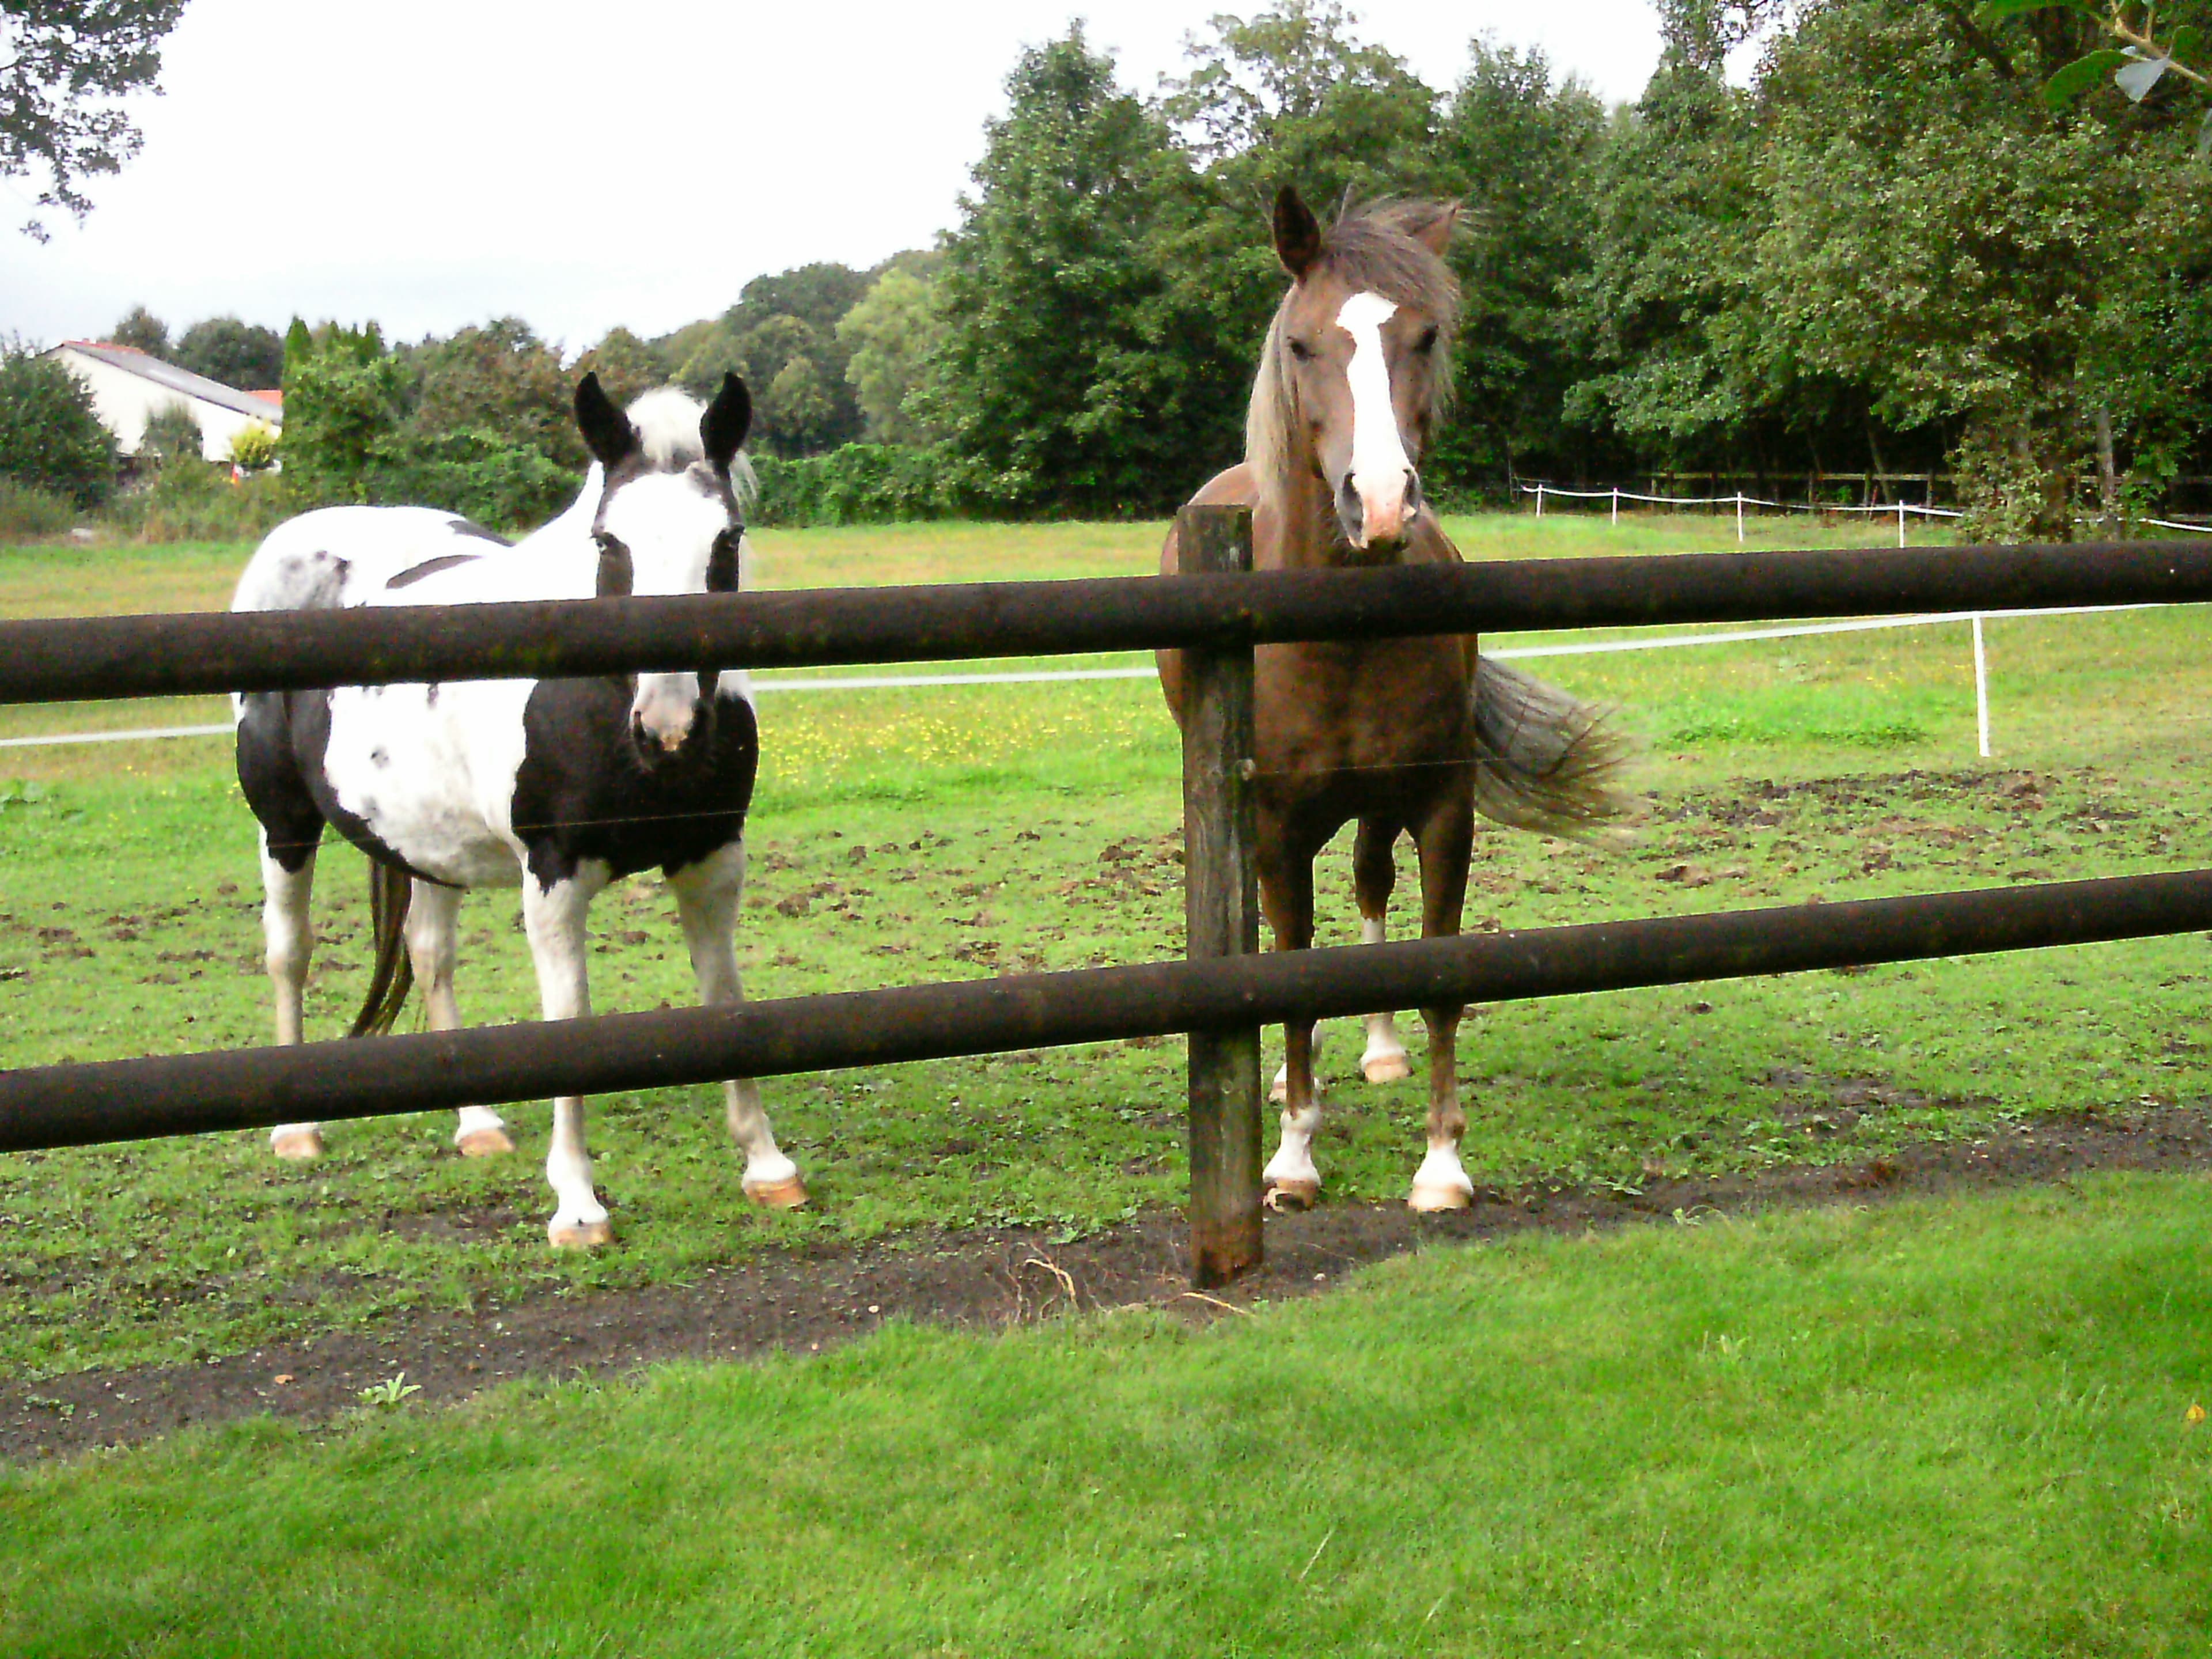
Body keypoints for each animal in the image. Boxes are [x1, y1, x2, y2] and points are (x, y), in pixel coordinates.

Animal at [231, 373, 805, 1247]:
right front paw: (577, 1204)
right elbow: (569, 1023)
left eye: (727, 539)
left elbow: (726, 1000)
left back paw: (477, 1124)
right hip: (285, 826)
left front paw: (767, 1167)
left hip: (427, 847)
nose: (669, 728)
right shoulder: (554, 877)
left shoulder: (711, 858)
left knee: (430, 955)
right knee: (289, 953)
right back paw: (296, 1129)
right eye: (608, 544)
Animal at [1168, 188, 1637, 1212]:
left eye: (1423, 336)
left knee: (1372, 886)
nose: (1379, 504)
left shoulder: (1441, 808)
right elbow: (1291, 968)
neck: (1339, 637)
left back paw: (1379, 1053)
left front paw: (1443, 1164)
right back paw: (1281, 1080)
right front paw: (1293, 1158)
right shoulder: (1275, 825)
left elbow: (1436, 968)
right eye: (1303, 344)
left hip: (1380, 807)